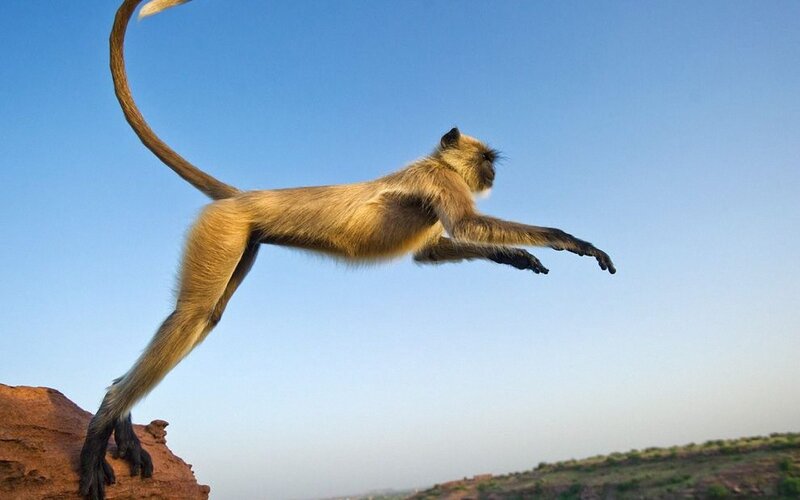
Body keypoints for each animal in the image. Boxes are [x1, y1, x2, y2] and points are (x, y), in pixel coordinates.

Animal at [79, 0, 616, 498]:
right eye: (485, 160)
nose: (491, 174)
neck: (433, 164)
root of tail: (245, 196)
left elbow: (430, 252)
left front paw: (516, 257)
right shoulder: (440, 181)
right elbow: (466, 225)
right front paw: (571, 241)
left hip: (243, 238)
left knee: (205, 316)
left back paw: (119, 418)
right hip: (225, 228)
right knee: (193, 315)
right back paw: (104, 423)